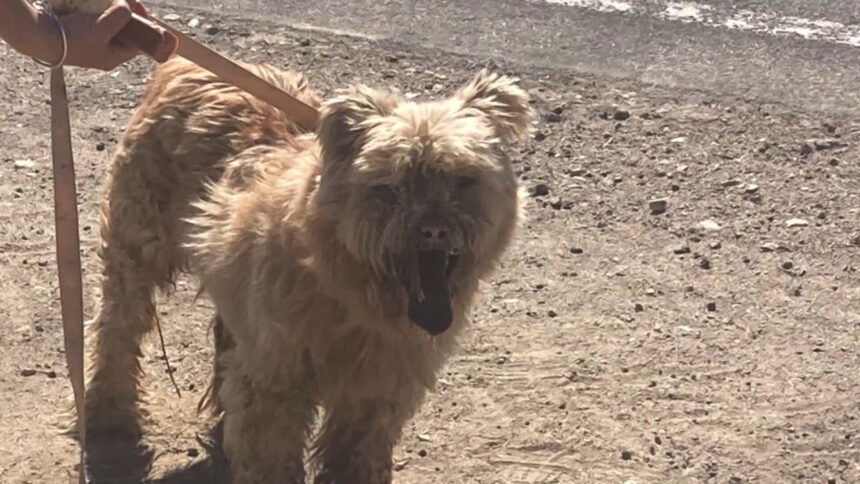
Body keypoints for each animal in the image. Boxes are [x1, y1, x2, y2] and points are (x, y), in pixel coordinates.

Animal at [83, 57, 533, 483]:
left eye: (464, 179)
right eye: (389, 187)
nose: (434, 228)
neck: (350, 289)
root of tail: (183, 63)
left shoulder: (378, 391)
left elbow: (357, 455)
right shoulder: (276, 381)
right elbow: (272, 454)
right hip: (136, 248)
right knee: (118, 329)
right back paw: (110, 412)